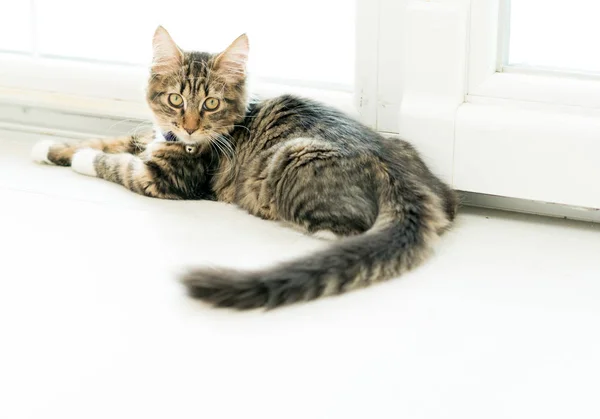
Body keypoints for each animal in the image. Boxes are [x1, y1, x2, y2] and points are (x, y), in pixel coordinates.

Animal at [32, 25, 458, 308]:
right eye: (175, 99)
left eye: (210, 104)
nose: (189, 127)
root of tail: (401, 175)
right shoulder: (152, 140)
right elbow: (111, 142)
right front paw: (49, 147)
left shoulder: (165, 178)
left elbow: (113, 162)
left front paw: (80, 159)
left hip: (292, 158)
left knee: (345, 229)